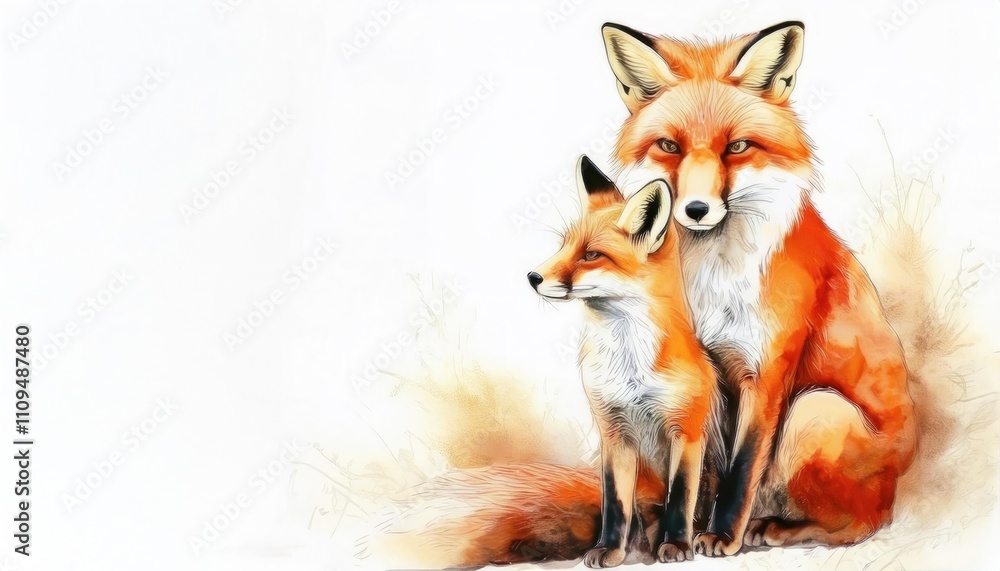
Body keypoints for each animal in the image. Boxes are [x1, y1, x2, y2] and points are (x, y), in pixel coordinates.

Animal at [526, 155, 717, 566]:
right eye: (564, 246)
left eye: (591, 255)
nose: (533, 276)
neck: (630, 367)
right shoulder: (613, 432)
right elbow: (615, 502)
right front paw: (610, 549)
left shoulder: (687, 431)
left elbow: (680, 495)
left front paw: (677, 545)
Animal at [596, 21, 918, 554]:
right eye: (670, 147)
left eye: (737, 147)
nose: (697, 210)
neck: (711, 281)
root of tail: (902, 479)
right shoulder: (702, 375)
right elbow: (701, 471)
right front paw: (680, 533)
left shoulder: (764, 371)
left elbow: (741, 469)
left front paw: (719, 535)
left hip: (815, 411)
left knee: (860, 525)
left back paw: (777, 530)